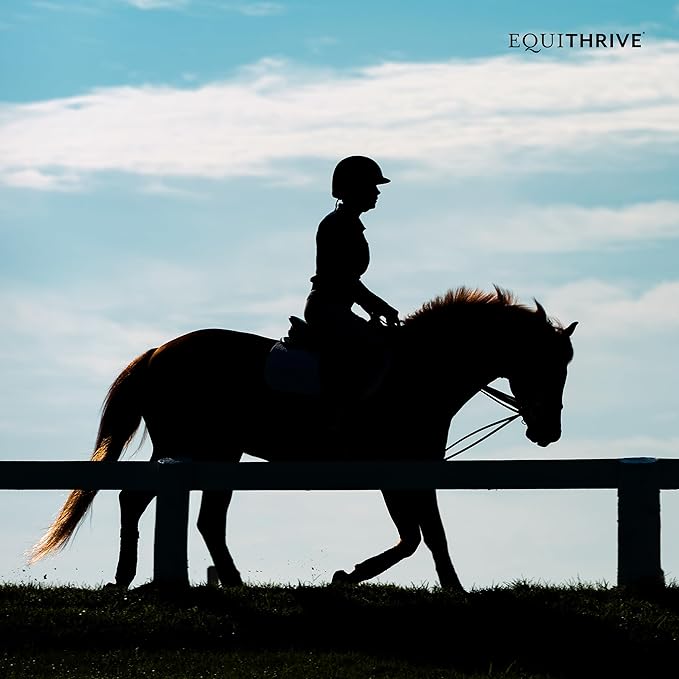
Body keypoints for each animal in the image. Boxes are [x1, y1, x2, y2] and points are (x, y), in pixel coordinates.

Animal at [30, 286, 577, 592]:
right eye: (545, 365)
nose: (547, 432)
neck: (422, 371)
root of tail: (157, 352)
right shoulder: (398, 470)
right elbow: (419, 537)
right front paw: (358, 578)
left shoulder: (409, 470)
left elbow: (423, 537)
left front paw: (436, 587)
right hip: (191, 448)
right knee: (145, 500)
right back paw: (132, 577)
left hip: (214, 452)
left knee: (194, 516)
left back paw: (218, 581)